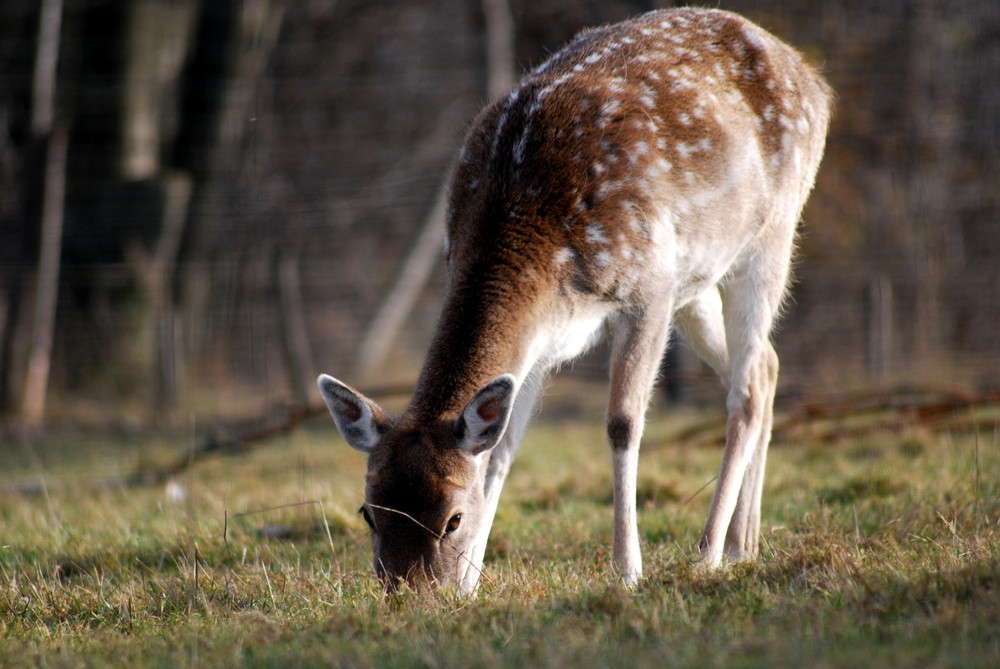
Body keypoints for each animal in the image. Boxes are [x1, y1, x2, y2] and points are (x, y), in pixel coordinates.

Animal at [320, 7, 836, 596]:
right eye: (368, 512)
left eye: (451, 518)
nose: (410, 594)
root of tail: (814, 79)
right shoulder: (542, 342)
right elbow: (501, 451)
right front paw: (473, 584)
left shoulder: (648, 286)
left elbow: (622, 424)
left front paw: (627, 571)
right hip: (697, 282)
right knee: (765, 367)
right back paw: (742, 543)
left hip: (770, 235)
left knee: (748, 384)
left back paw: (710, 551)